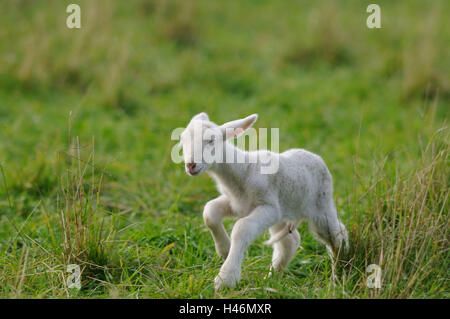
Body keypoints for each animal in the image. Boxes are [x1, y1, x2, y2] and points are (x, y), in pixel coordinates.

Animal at [178, 113, 348, 292]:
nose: (190, 165)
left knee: (338, 234)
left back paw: (339, 272)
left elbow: (242, 228)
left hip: (321, 205)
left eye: (211, 140)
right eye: (182, 139)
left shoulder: (269, 207)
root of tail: (316, 157)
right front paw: (224, 248)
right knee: (290, 242)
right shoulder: (237, 204)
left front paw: (225, 279)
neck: (244, 170)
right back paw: (272, 277)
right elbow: (209, 212)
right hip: (284, 213)